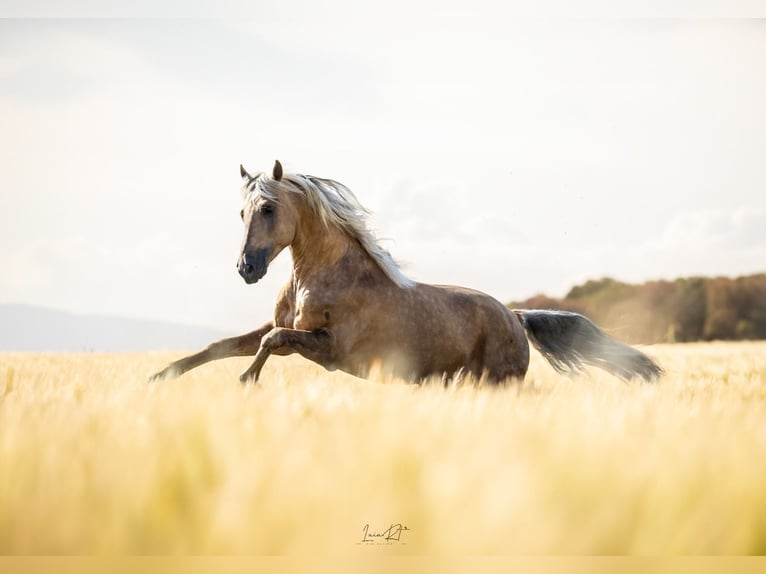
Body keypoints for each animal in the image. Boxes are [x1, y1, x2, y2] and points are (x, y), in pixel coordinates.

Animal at [153, 162, 664, 388]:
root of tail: (515, 316)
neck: (315, 279)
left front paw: (246, 380)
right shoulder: (287, 327)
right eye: (241, 212)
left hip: (496, 383)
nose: (247, 269)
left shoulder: (331, 348)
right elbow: (222, 345)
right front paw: (160, 378)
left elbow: (272, 340)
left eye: (268, 208)